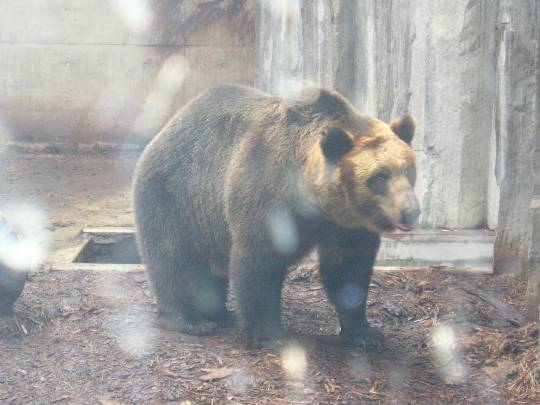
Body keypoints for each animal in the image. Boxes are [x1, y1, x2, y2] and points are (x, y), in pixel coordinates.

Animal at [133, 83, 420, 346]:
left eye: (408, 170)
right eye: (379, 177)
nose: (411, 211)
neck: (312, 197)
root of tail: (169, 125)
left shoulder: (346, 223)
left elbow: (349, 267)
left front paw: (364, 333)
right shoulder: (267, 195)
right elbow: (259, 262)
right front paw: (268, 334)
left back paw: (218, 313)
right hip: (176, 197)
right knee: (175, 260)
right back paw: (190, 320)